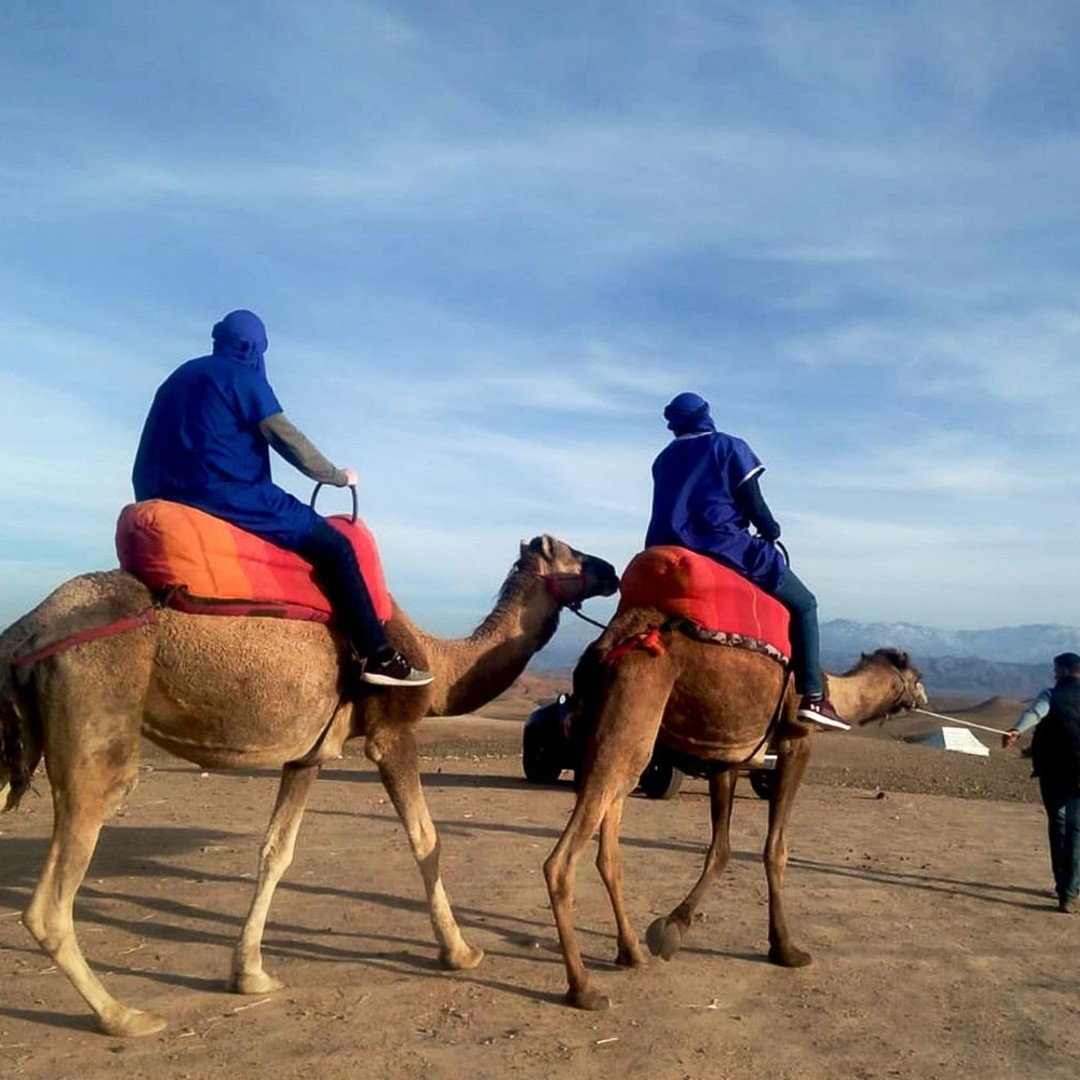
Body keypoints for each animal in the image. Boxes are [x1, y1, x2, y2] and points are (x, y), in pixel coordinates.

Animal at [0, 534, 618, 1037]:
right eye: (570, 551)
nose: (612, 569)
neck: (440, 662)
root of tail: (25, 630)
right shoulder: (391, 732)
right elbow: (427, 840)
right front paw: (461, 952)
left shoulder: (308, 753)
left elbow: (277, 850)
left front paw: (250, 974)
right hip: (97, 726)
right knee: (51, 902)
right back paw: (122, 1016)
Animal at [544, 606, 926, 1010]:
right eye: (916, 676)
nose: (924, 696)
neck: (836, 691)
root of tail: (604, 650)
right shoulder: (797, 742)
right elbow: (776, 849)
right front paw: (786, 949)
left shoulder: (727, 759)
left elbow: (721, 850)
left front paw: (671, 926)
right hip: (630, 719)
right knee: (561, 861)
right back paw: (583, 988)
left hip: (613, 734)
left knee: (609, 850)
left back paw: (631, 953)